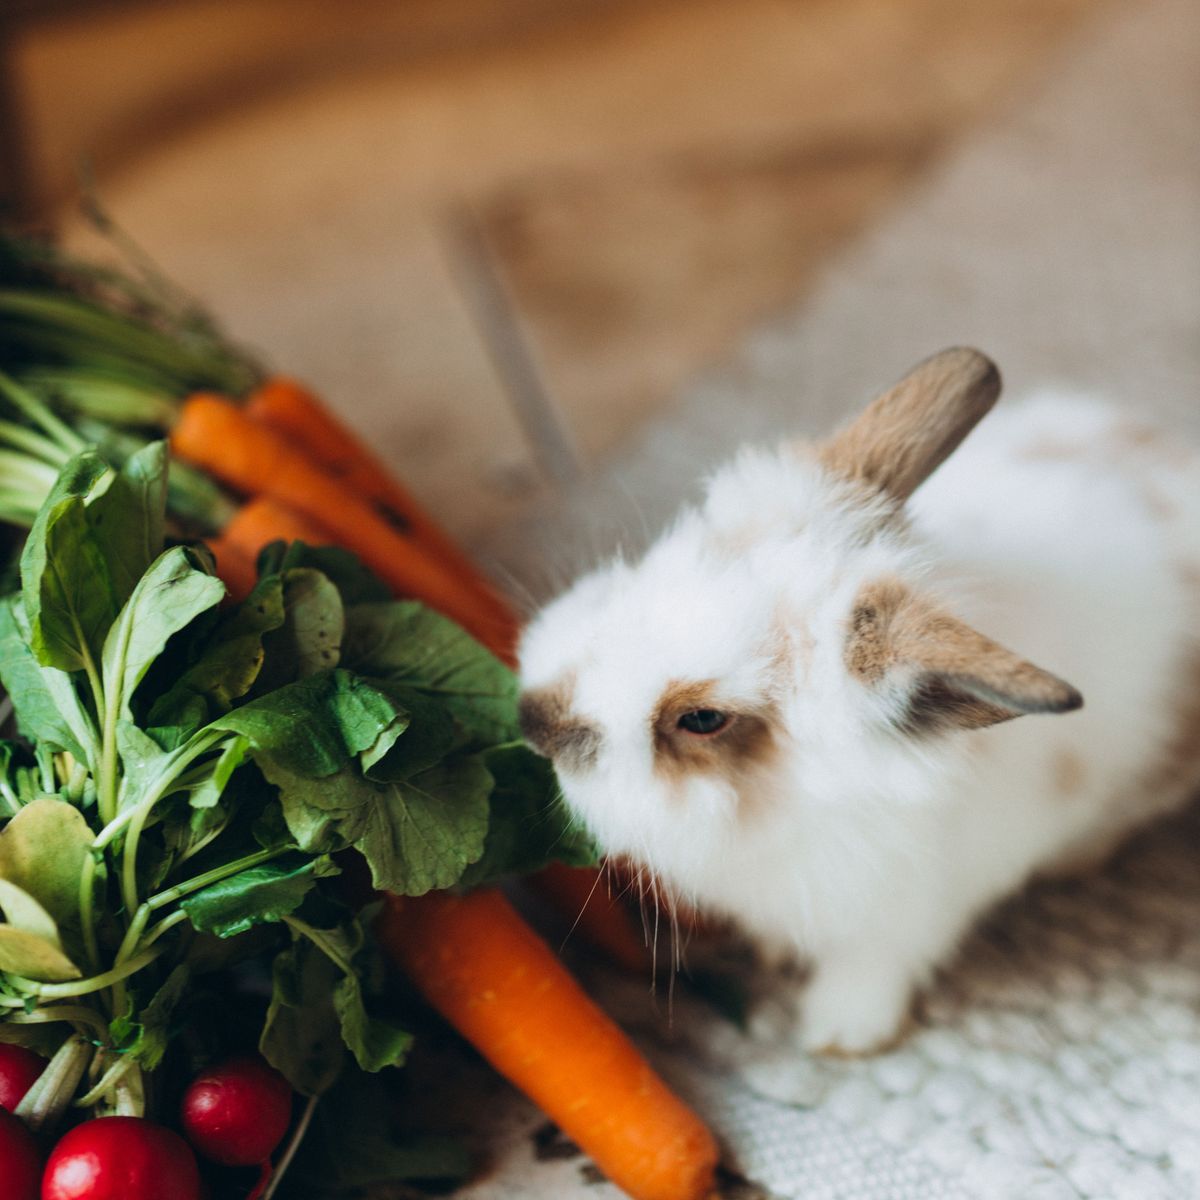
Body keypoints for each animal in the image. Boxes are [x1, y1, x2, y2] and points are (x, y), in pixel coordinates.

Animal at [516, 347, 1200, 1054]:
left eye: (703, 719)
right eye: (654, 572)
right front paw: (773, 955)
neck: (788, 802)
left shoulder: (906, 912)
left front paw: (840, 1034)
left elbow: (872, 965)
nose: (534, 719)